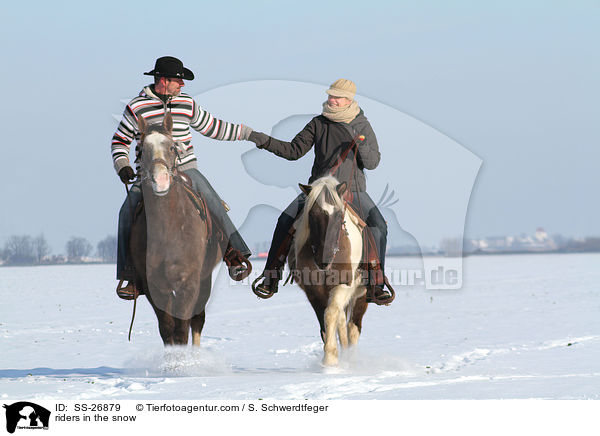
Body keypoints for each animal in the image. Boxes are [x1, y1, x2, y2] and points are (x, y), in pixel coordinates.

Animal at [131, 114, 225, 346]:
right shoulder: (154, 286)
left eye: (172, 147)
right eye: (141, 149)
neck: (168, 229)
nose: (161, 180)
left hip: (204, 279)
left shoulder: (188, 283)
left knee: (197, 320)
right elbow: (167, 329)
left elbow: (182, 329)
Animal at [288, 175, 368, 364]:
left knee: (353, 327)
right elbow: (325, 323)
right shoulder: (313, 291)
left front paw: (330, 361)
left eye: (339, 214)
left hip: (361, 293)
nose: (323, 260)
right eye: (311, 214)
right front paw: (331, 359)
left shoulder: (344, 285)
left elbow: (330, 314)